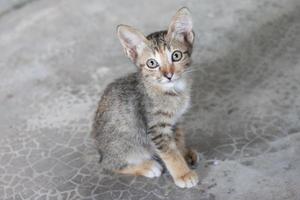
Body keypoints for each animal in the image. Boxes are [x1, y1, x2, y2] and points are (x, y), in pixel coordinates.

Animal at [91, 7, 199, 188]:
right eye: (152, 63)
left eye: (176, 56)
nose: (168, 75)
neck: (173, 90)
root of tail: (101, 152)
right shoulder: (156, 128)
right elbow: (170, 153)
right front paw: (183, 174)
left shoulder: (175, 121)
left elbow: (178, 139)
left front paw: (184, 153)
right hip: (125, 145)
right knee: (108, 165)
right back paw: (146, 166)